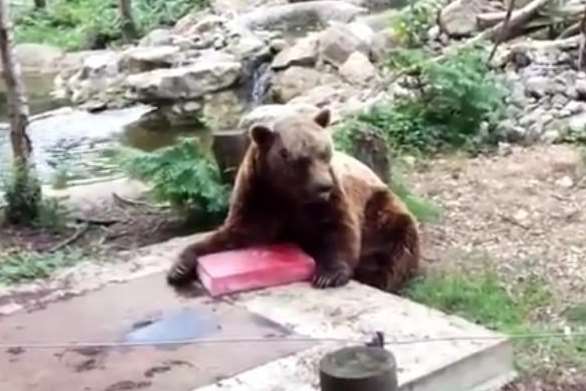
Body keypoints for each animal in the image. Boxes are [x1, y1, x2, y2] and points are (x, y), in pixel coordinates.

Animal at [167, 108, 418, 292]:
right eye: (300, 158)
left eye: (325, 151)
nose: (324, 185)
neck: (290, 194)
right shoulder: (258, 197)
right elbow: (235, 235)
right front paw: (179, 268)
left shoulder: (331, 200)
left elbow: (339, 229)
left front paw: (328, 275)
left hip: (381, 211)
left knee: (395, 248)